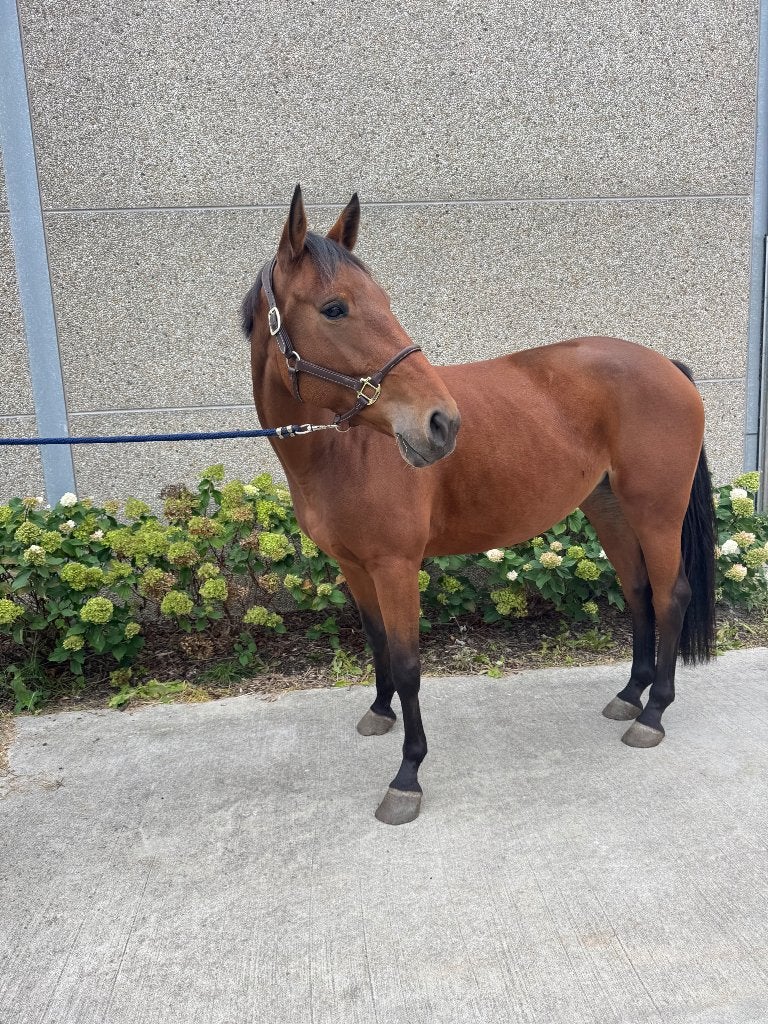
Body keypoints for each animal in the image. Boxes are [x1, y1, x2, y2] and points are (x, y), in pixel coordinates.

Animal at [241, 185, 716, 826]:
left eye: (382, 301)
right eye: (335, 308)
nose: (442, 424)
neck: (344, 450)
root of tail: (669, 366)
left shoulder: (396, 567)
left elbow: (409, 664)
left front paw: (408, 776)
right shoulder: (354, 566)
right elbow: (377, 641)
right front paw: (380, 713)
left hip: (655, 513)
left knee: (671, 596)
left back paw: (653, 713)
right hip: (608, 510)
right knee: (639, 593)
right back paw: (629, 696)